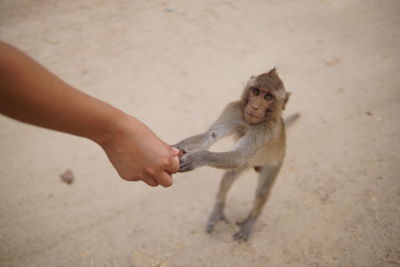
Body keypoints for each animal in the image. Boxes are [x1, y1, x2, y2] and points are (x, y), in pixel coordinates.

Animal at [173, 68, 298, 243]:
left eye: (268, 97)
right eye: (256, 91)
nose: (254, 106)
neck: (250, 122)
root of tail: (255, 167)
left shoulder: (265, 130)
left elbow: (238, 155)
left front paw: (195, 159)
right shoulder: (234, 109)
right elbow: (210, 136)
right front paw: (172, 147)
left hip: (274, 164)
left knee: (262, 192)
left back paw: (250, 221)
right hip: (247, 164)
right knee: (229, 176)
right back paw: (218, 209)